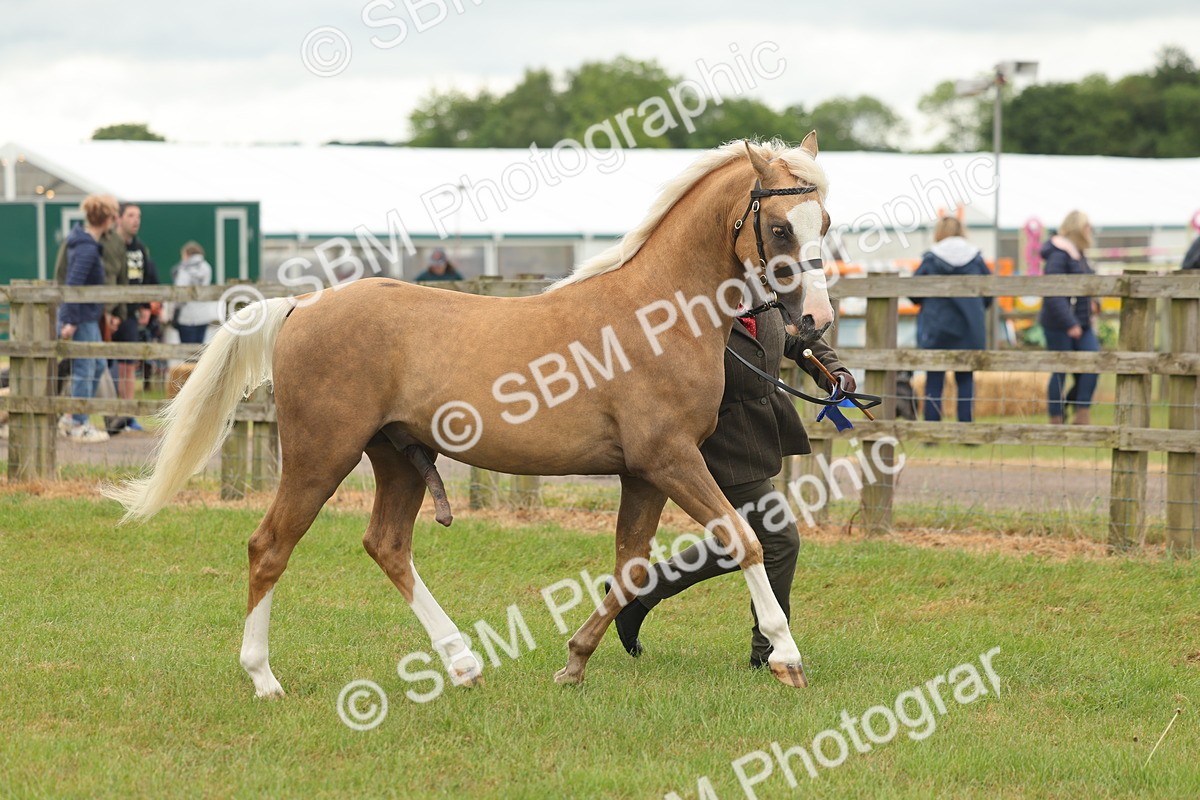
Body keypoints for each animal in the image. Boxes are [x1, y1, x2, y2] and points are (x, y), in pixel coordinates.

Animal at [104, 135, 836, 698]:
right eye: (779, 227)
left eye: (824, 226)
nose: (816, 322)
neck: (656, 313)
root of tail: (302, 306)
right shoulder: (671, 459)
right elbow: (743, 541)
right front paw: (787, 657)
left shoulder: (645, 472)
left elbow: (631, 566)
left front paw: (574, 661)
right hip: (320, 455)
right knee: (270, 547)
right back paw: (264, 678)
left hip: (396, 457)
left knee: (387, 546)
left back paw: (462, 664)